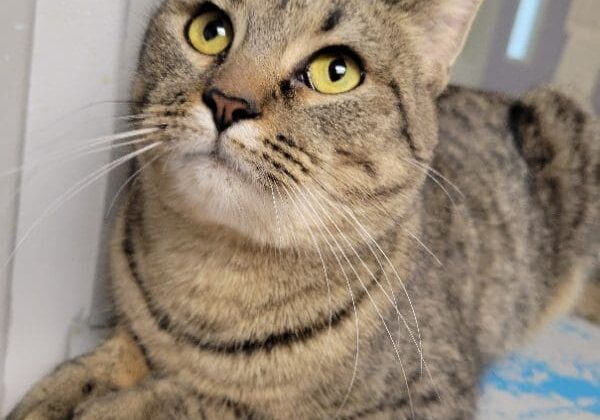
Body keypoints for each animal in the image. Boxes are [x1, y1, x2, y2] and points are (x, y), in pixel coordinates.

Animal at [7, 0, 596, 420]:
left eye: (337, 71)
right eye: (210, 28)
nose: (227, 102)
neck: (215, 272)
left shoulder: (424, 400)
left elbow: (228, 403)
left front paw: (125, 405)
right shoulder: (132, 327)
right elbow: (107, 357)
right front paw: (57, 393)